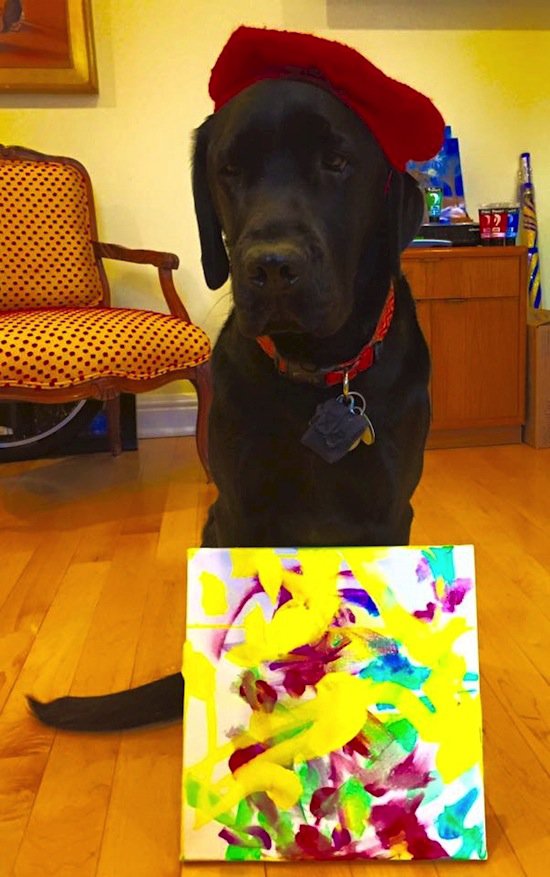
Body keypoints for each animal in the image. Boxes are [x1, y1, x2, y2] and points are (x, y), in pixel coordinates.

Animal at [29, 28, 442, 731]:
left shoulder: (389, 509)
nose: (272, 267)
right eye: (231, 171)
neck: (317, 377)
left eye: (337, 162)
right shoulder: (244, 510)